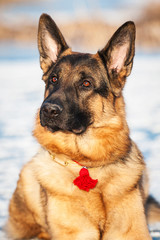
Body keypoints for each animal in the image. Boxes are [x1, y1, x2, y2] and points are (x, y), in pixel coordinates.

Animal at [6, 13, 159, 240]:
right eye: (54, 79)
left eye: (86, 84)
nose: (48, 110)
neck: (89, 164)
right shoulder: (76, 233)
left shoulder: (131, 233)